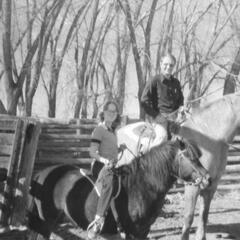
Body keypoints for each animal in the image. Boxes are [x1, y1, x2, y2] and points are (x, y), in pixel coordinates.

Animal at [28, 138, 210, 239]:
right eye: (190, 157)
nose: (207, 178)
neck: (142, 187)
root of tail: (42, 174)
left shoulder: (143, 231)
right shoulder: (132, 231)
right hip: (46, 222)